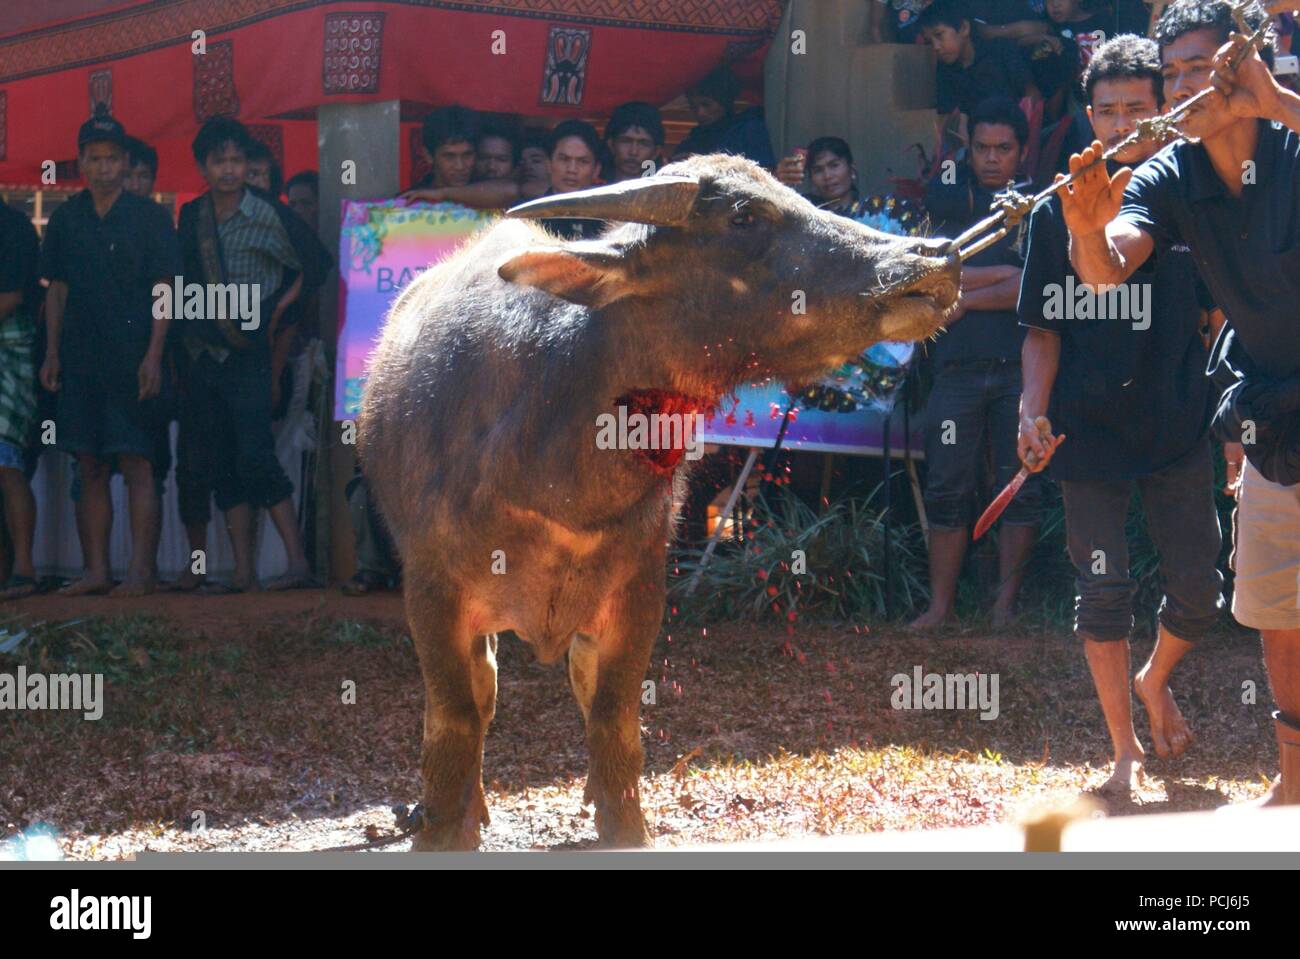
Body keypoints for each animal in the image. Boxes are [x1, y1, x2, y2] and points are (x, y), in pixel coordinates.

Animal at [361, 149, 961, 842]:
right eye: (743, 215)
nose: (937, 253)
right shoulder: (432, 596)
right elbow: (456, 717)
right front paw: (443, 829)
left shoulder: (639, 594)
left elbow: (613, 716)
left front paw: (624, 825)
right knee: (482, 692)